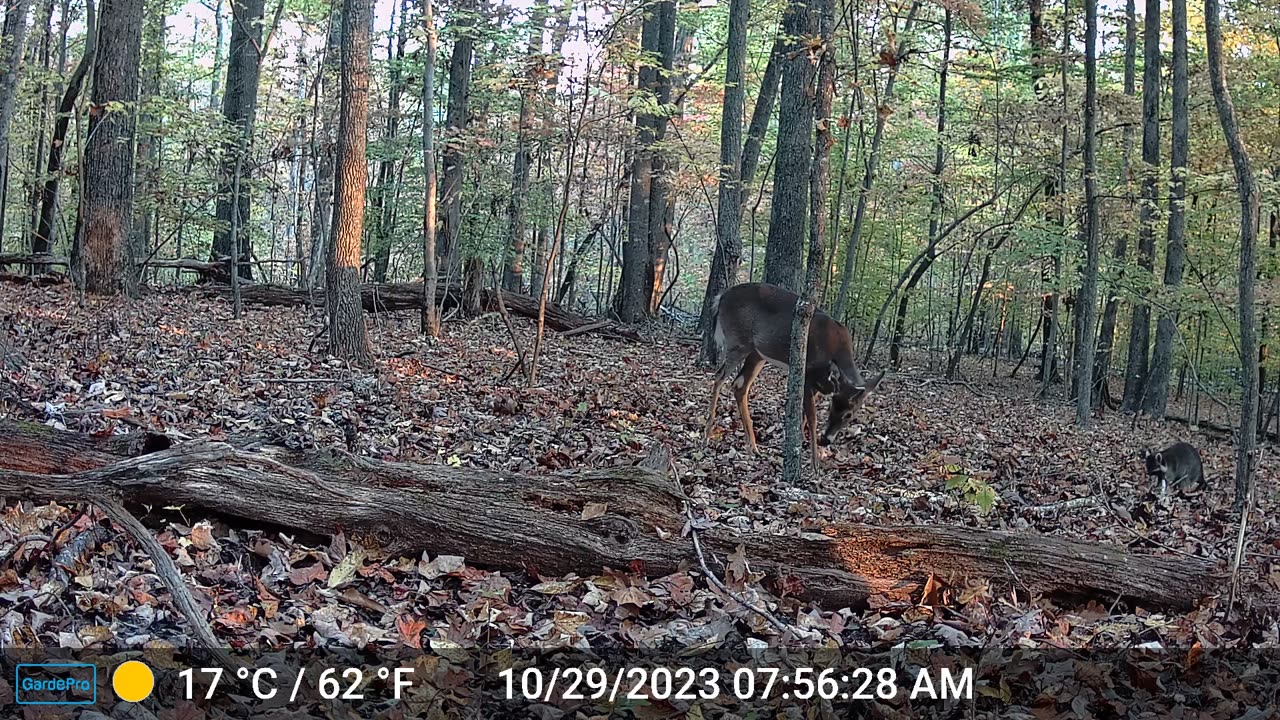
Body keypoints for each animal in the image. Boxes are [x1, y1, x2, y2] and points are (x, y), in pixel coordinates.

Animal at [706, 280, 885, 466]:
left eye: (850, 415)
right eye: (833, 406)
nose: (825, 440)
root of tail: (721, 297)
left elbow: (805, 415)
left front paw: (817, 452)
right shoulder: (807, 374)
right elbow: (812, 418)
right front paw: (814, 463)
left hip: (757, 353)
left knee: (740, 385)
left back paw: (753, 446)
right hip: (738, 341)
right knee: (719, 376)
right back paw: (708, 434)